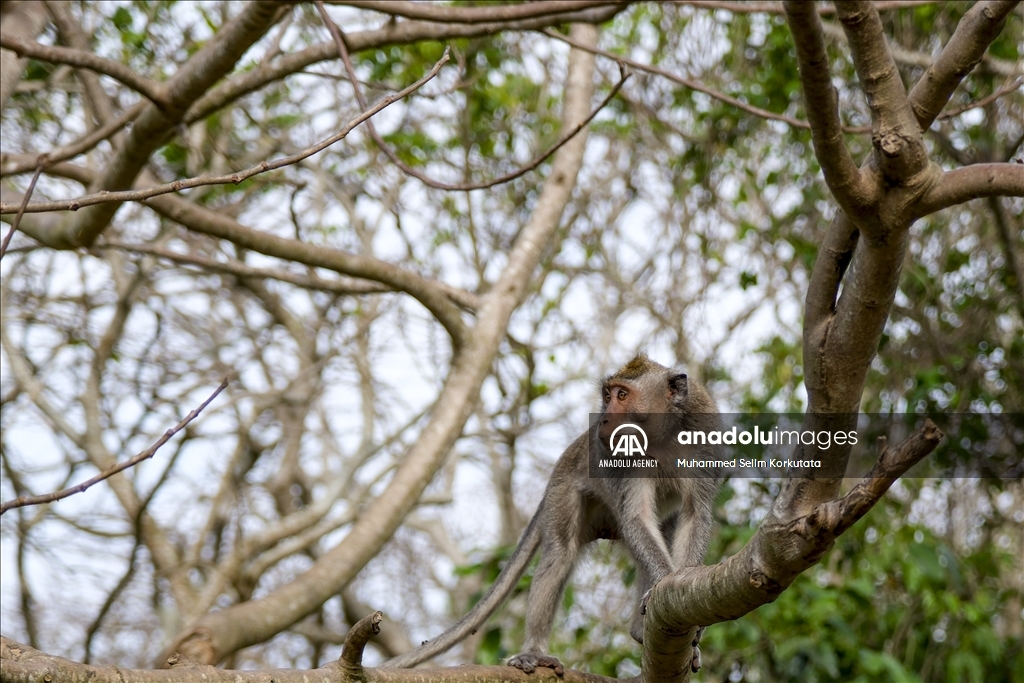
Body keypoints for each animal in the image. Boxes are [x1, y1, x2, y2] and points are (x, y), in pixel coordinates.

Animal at [380, 356, 724, 675]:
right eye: (607, 395)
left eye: (623, 395)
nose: (602, 420)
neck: (663, 434)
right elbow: (636, 517)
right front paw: (664, 583)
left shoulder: (703, 434)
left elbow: (694, 513)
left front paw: (680, 593)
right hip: (565, 491)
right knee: (561, 553)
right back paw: (535, 650)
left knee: (660, 532)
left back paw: (640, 631)